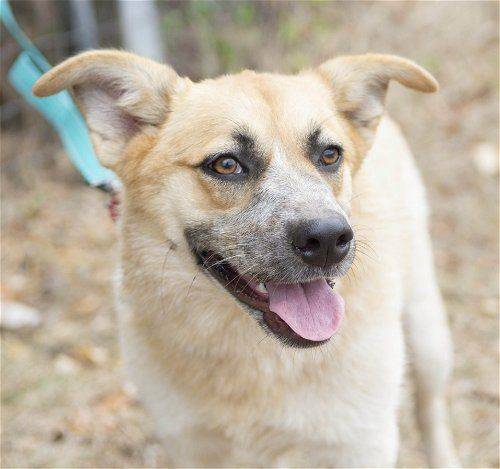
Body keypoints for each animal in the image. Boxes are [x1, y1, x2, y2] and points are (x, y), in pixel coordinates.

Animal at [33, 49, 458, 466]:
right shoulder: (191, 445)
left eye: (329, 155)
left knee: (430, 411)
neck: (255, 351)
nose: (327, 239)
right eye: (226, 164)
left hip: (427, 336)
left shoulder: (361, 443)